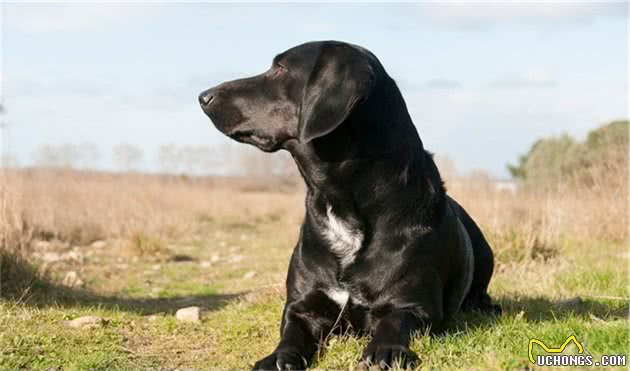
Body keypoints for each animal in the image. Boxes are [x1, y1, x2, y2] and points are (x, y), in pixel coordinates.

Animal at [200, 41, 502, 371]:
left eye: (280, 68)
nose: (204, 96)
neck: (339, 202)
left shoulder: (414, 306)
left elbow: (395, 322)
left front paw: (386, 350)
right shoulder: (302, 306)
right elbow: (291, 333)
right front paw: (278, 357)